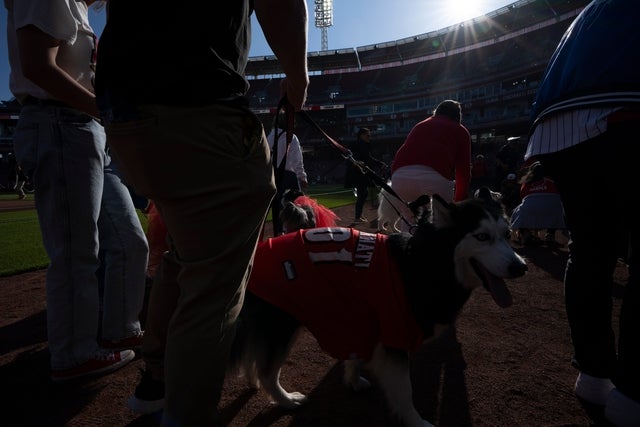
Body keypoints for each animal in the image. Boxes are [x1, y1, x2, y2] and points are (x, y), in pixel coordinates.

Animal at [230, 189, 527, 427]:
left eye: (507, 234)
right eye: (482, 237)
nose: (521, 267)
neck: (424, 262)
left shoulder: (364, 318)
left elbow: (356, 356)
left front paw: (353, 380)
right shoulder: (396, 334)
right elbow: (404, 391)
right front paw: (417, 422)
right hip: (283, 324)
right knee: (268, 371)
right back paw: (285, 400)